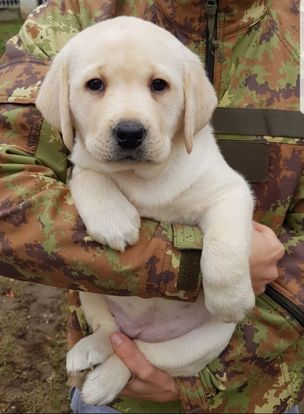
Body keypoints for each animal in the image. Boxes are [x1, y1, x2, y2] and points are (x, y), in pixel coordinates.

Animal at [35, 16, 255, 404]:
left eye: (159, 85)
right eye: (95, 84)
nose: (129, 132)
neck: (143, 178)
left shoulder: (230, 191)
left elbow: (225, 248)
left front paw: (231, 298)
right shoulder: (81, 164)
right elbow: (92, 176)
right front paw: (114, 219)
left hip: (200, 344)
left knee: (140, 354)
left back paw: (104, 380)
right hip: (87, 290)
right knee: (112, 333)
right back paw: (88, 351)